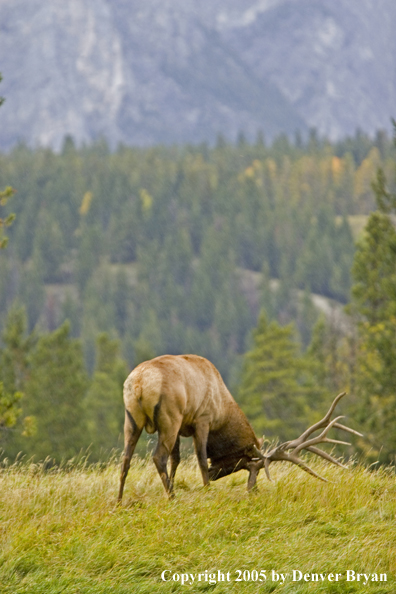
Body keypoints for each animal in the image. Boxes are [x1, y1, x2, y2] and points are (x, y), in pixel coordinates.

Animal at [117, 352, 362, 500]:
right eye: (249, 464)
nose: (253, 488)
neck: (223, 412)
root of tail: (139, 384)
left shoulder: (184, 425)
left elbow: (176, 459)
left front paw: (176, 487)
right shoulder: (202, 418)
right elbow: (201, 459)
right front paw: (206, 490)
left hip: (132, 419)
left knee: (126, 458)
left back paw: (120, 500)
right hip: (169, 417)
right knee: (158, 457)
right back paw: (172, 498)